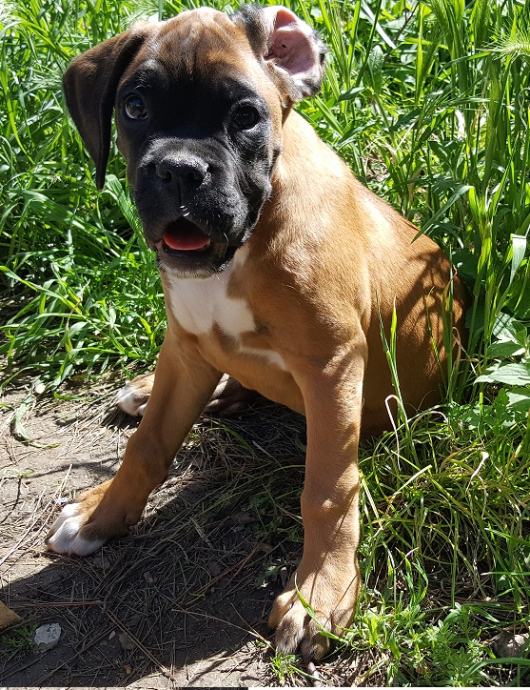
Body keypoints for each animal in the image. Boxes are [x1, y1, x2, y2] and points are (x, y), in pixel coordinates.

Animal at [46, 5, 466, 660]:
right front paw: (101, 516)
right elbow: (147, 446)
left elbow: (327, 488)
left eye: (245, 115)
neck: (242, 250)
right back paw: (148, 398)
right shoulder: (185, 346)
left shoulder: (331, 366)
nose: (180, 170)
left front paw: (319, 596)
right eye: (134, 106)